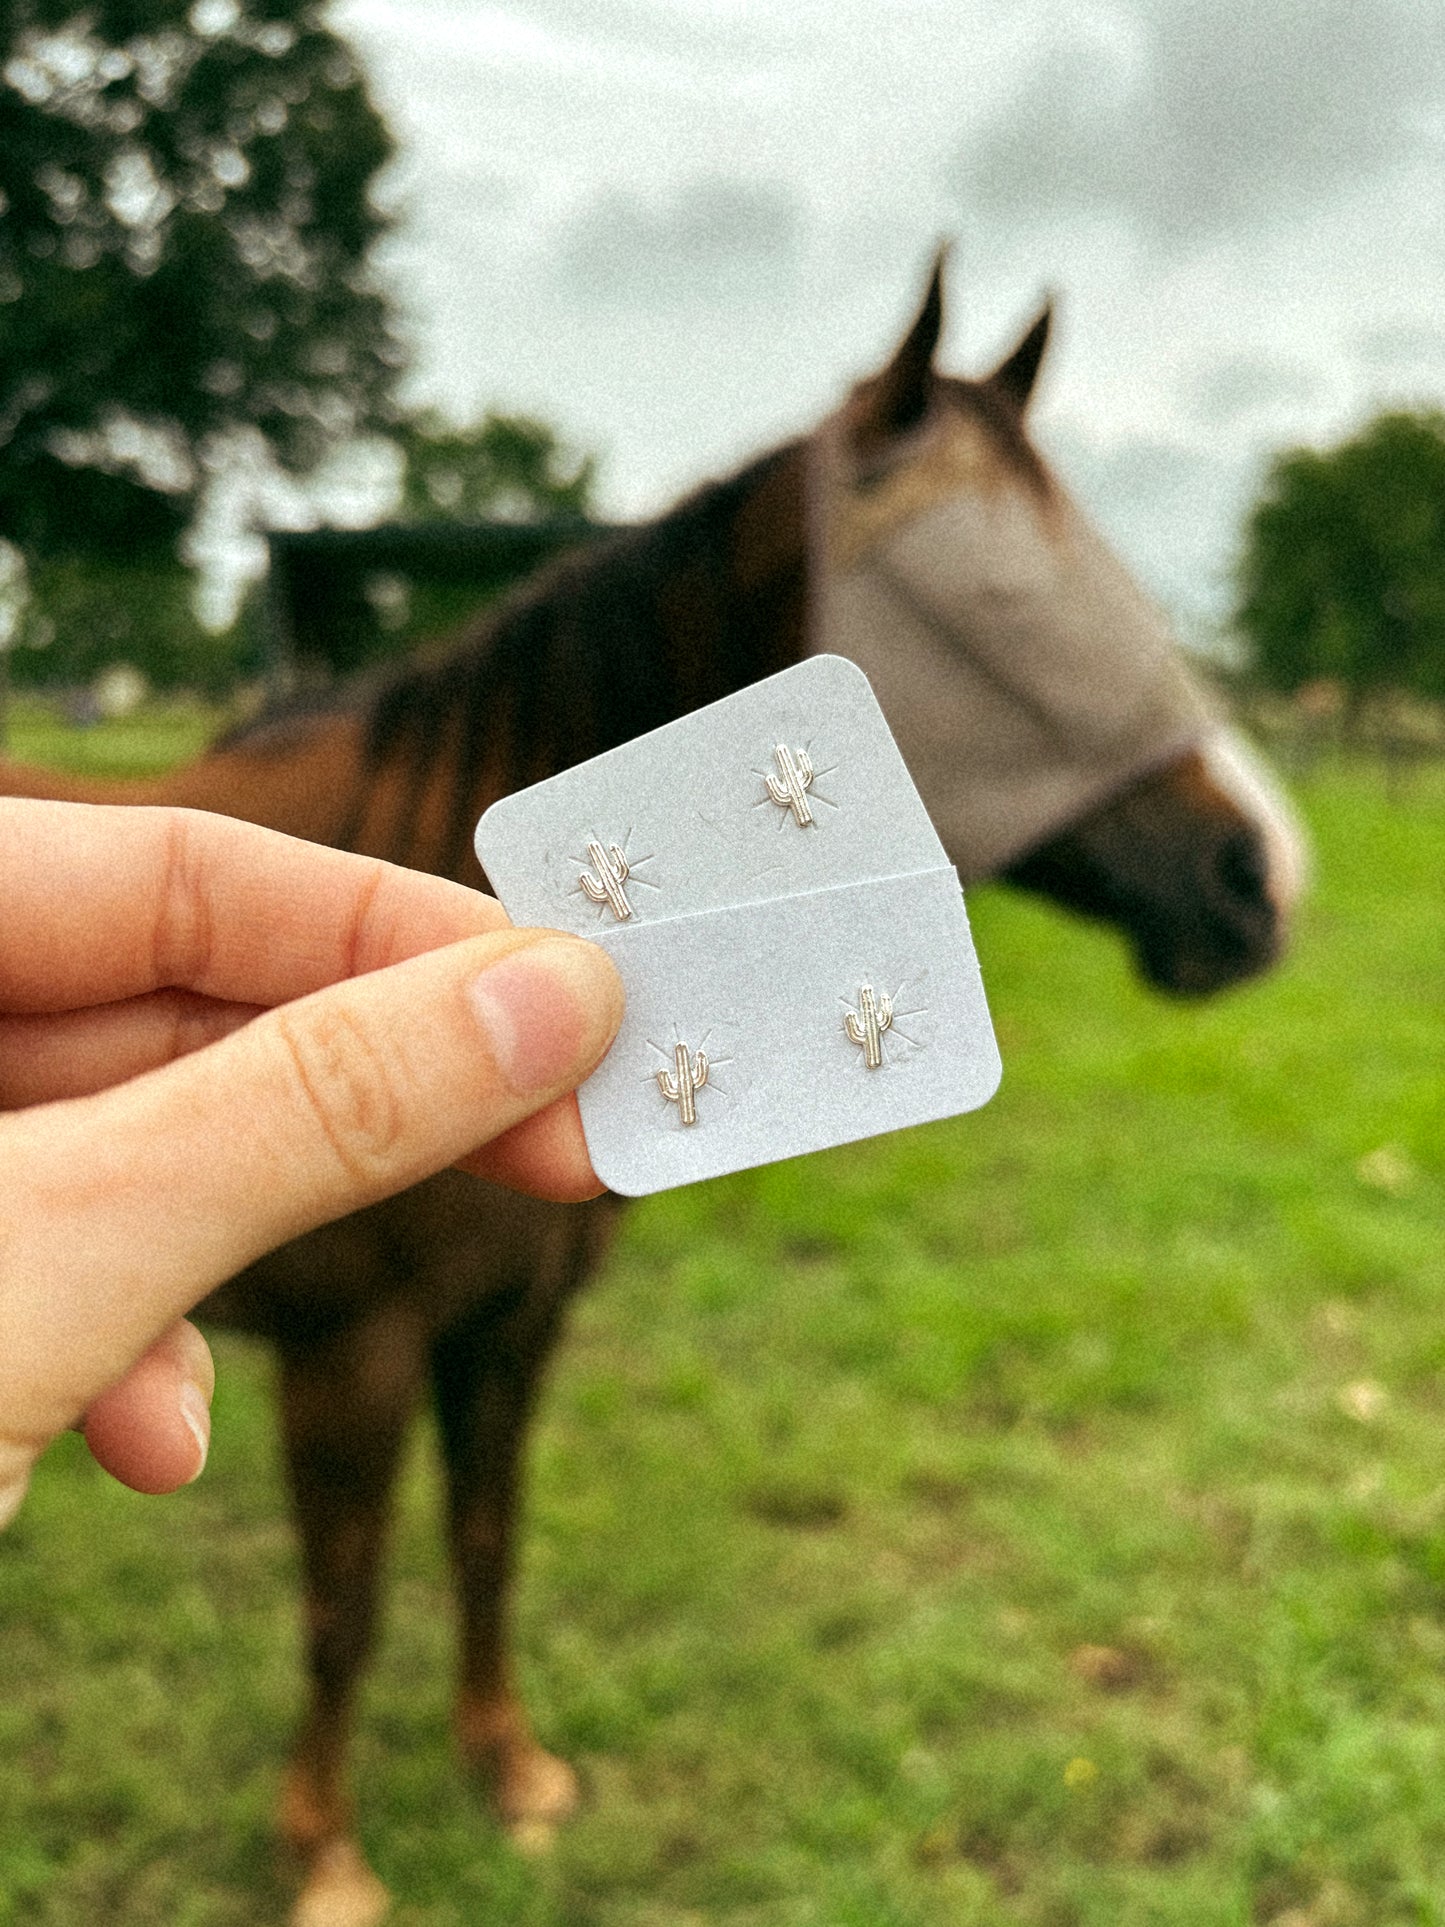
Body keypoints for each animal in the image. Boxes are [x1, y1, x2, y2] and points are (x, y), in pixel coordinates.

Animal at [2, 260, 1310, 1927]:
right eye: (999, 595)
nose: (1256, 875)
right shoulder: (353, 1352)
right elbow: (344, 1603)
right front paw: (329, 1853)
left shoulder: (512, 1326)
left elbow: (486, 1540)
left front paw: (509, 1770)